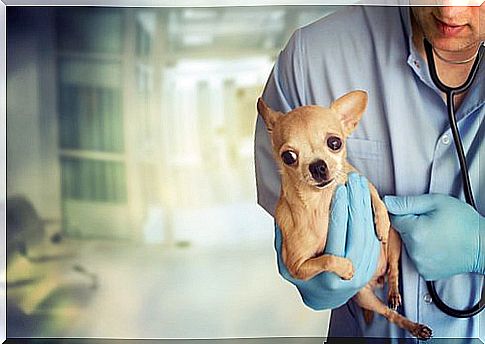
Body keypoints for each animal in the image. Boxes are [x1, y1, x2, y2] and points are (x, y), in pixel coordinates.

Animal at [258, 90, 432, 340]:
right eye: (288, 157)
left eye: (334, 143)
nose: (318, 166)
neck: (321, 201)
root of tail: (376, 281)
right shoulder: (297, 268)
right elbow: (326, 259)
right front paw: (346, 267)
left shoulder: (355, 178)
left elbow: (374, 194)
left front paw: (381, 221)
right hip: (363, 296)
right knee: (388, 314)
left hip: (395, 242)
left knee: (393, 268)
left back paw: (395, 294)